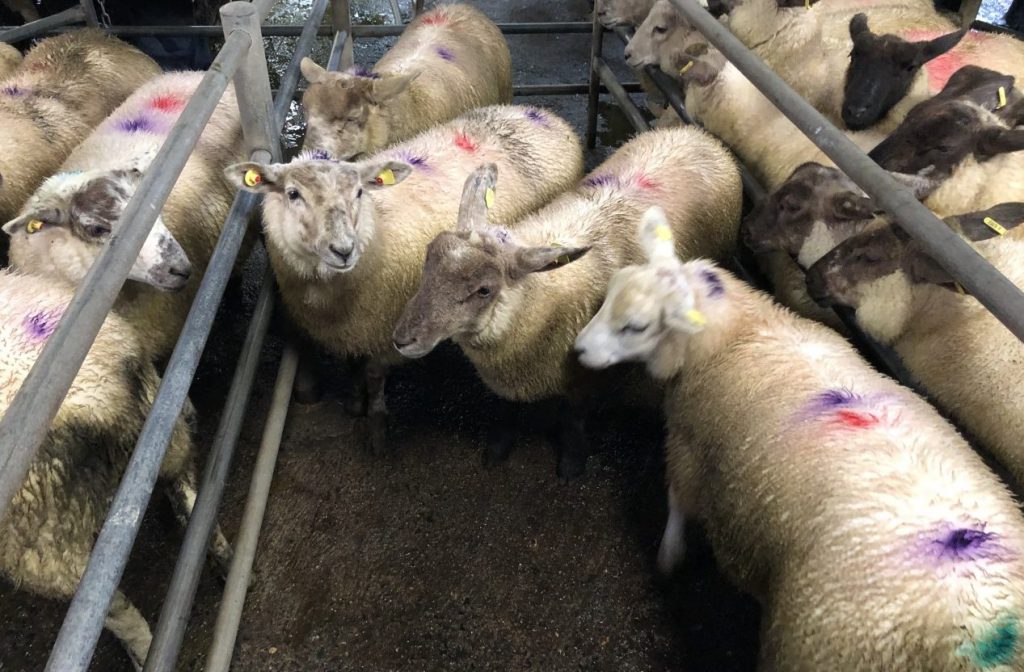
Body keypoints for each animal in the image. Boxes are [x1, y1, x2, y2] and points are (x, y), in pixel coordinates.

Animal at [0, 269, 233, 670]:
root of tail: (104, 396)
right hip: (163, 426)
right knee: (189, 497)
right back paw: (224, 560)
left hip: (44, 549)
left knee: (112, 609)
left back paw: (142, 655)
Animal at [226, 105, 584, 455]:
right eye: (292, 194)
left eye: (359, 192)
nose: (343, 250)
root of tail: (541, 112)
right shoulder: (352, 325)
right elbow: (353, 363)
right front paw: (354, 400)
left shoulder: (388, 330)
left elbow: (374, 374)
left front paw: (376, 427)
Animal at [392, 126, 741, 479]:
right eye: (429, 255)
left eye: (484, 290)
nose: (402, 339)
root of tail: (694, 132)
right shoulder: (508, 376)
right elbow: (507, 410)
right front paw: (499, 446)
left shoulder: (582, 376)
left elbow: (573, 423)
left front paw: (572, 464)